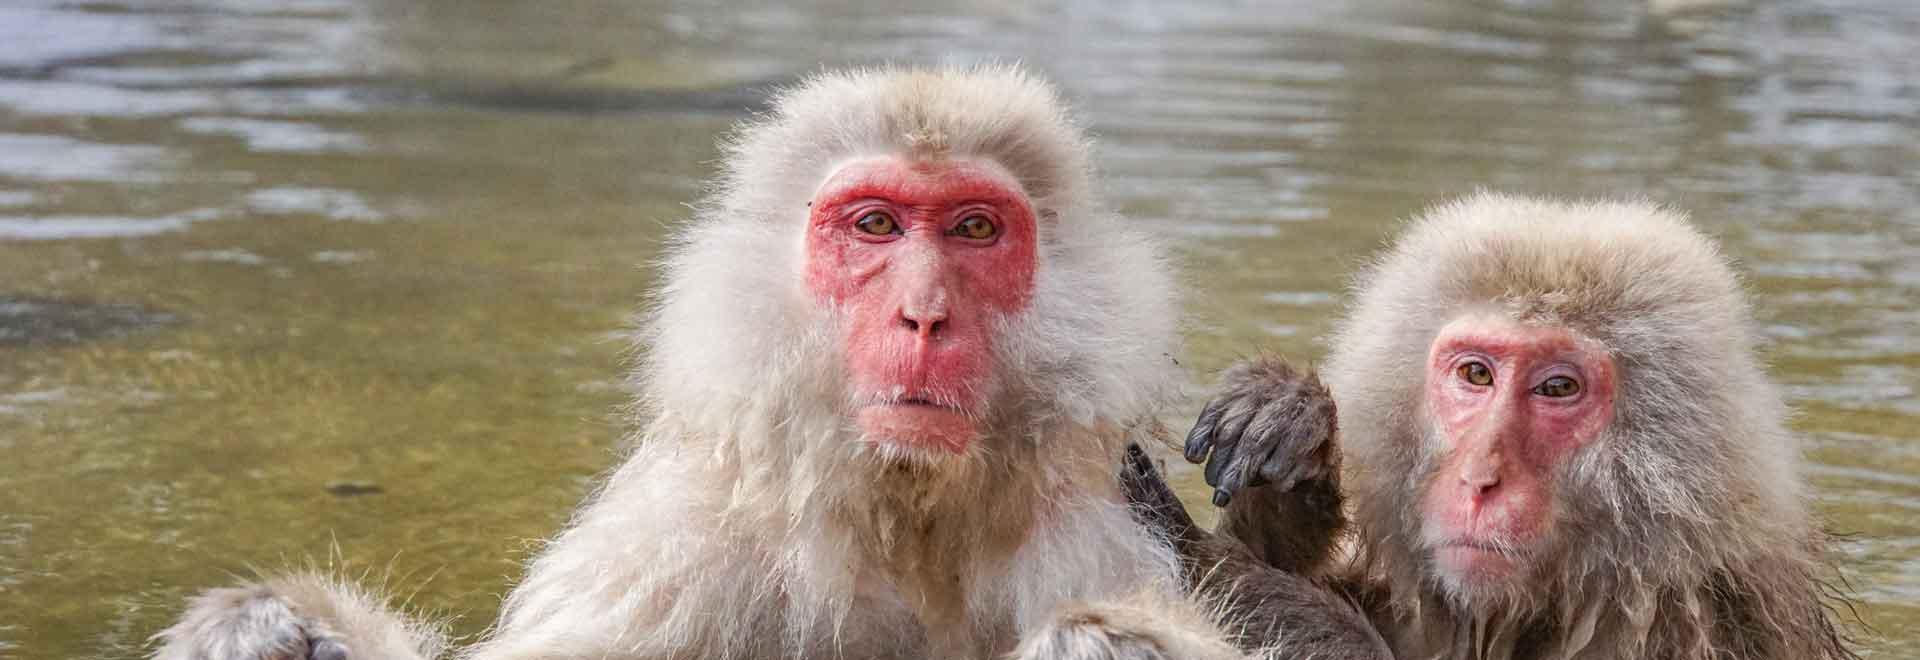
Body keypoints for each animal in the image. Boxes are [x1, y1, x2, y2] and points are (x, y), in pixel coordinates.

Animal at [151, 65, 1355, 660]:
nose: (924, 316)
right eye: (874, 226)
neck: (909, 515)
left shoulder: (1103, 531)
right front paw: (264, 633)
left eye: (975, 231)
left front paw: (1108, 647)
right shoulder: (677, 545)